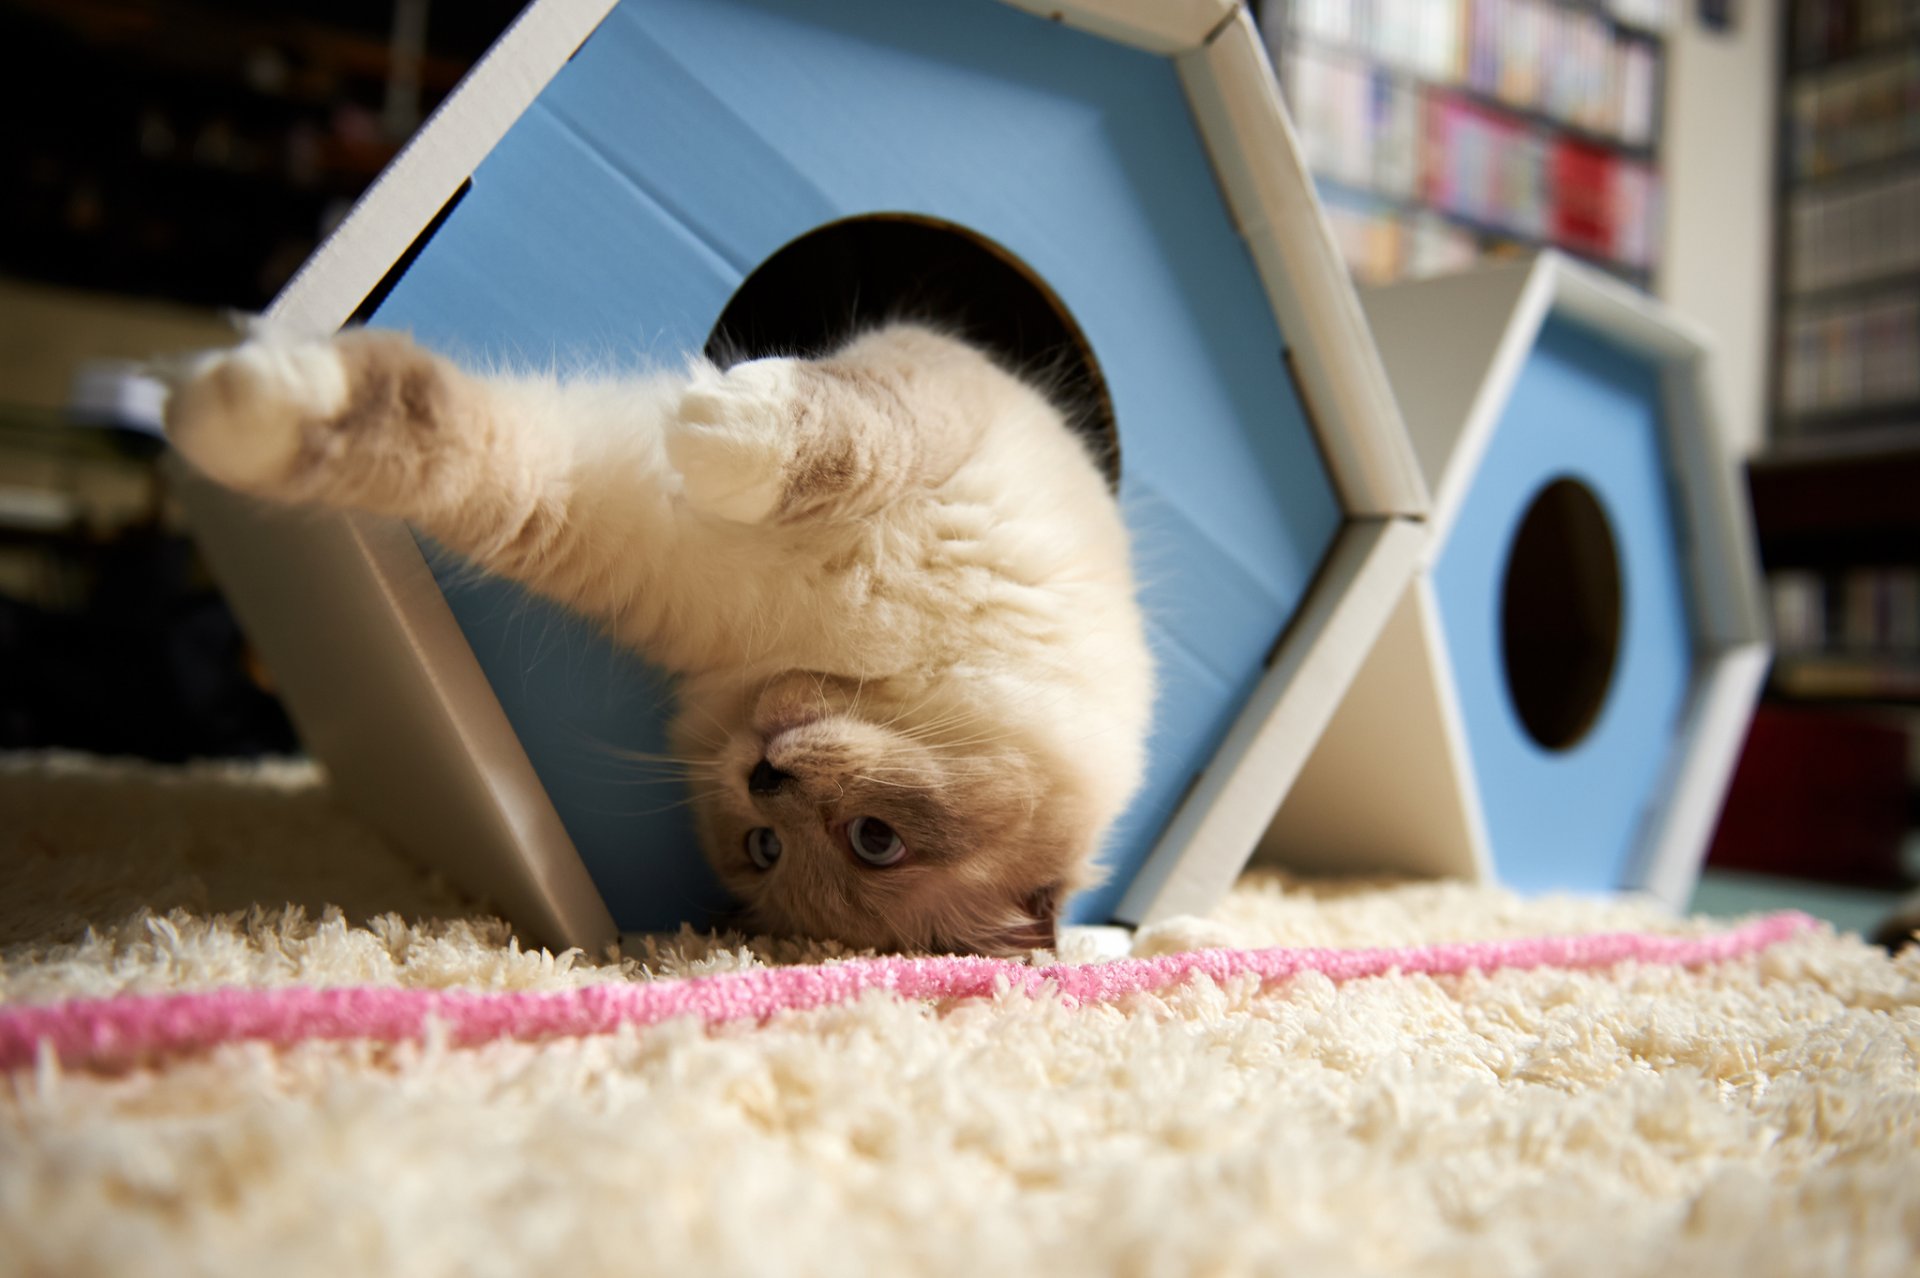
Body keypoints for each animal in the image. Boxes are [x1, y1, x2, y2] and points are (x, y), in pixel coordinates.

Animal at [161, 324, 1152, 951]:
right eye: (880, 841)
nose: (764, 776)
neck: (827, 642)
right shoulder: (939, 390)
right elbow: (846, 435)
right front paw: (220, 406)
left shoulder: (594, 525)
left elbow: (450, 450)